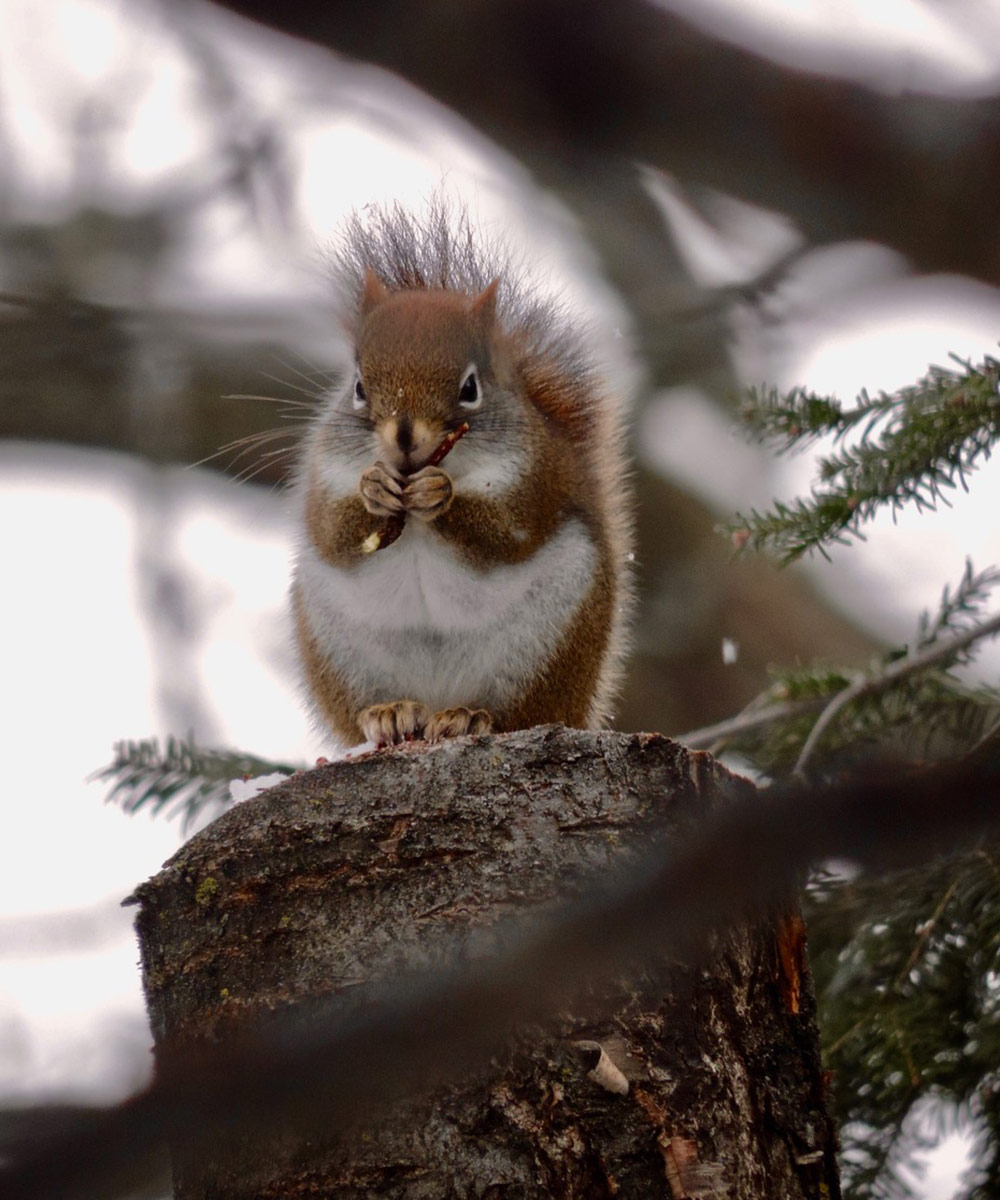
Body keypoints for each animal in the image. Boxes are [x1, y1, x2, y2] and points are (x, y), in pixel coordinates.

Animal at [290, 204, 633, 748]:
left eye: (470, 387)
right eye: (359, 387)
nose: (404, 437)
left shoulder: (536, 480)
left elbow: (506, 531)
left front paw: (440, 494)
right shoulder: (321, 472)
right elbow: (331, 529)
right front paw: (372, 489)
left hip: (546, 647)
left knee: (520, 712)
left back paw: (471, 717)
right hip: (337, 650)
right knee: (364, 711)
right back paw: (388, 713)